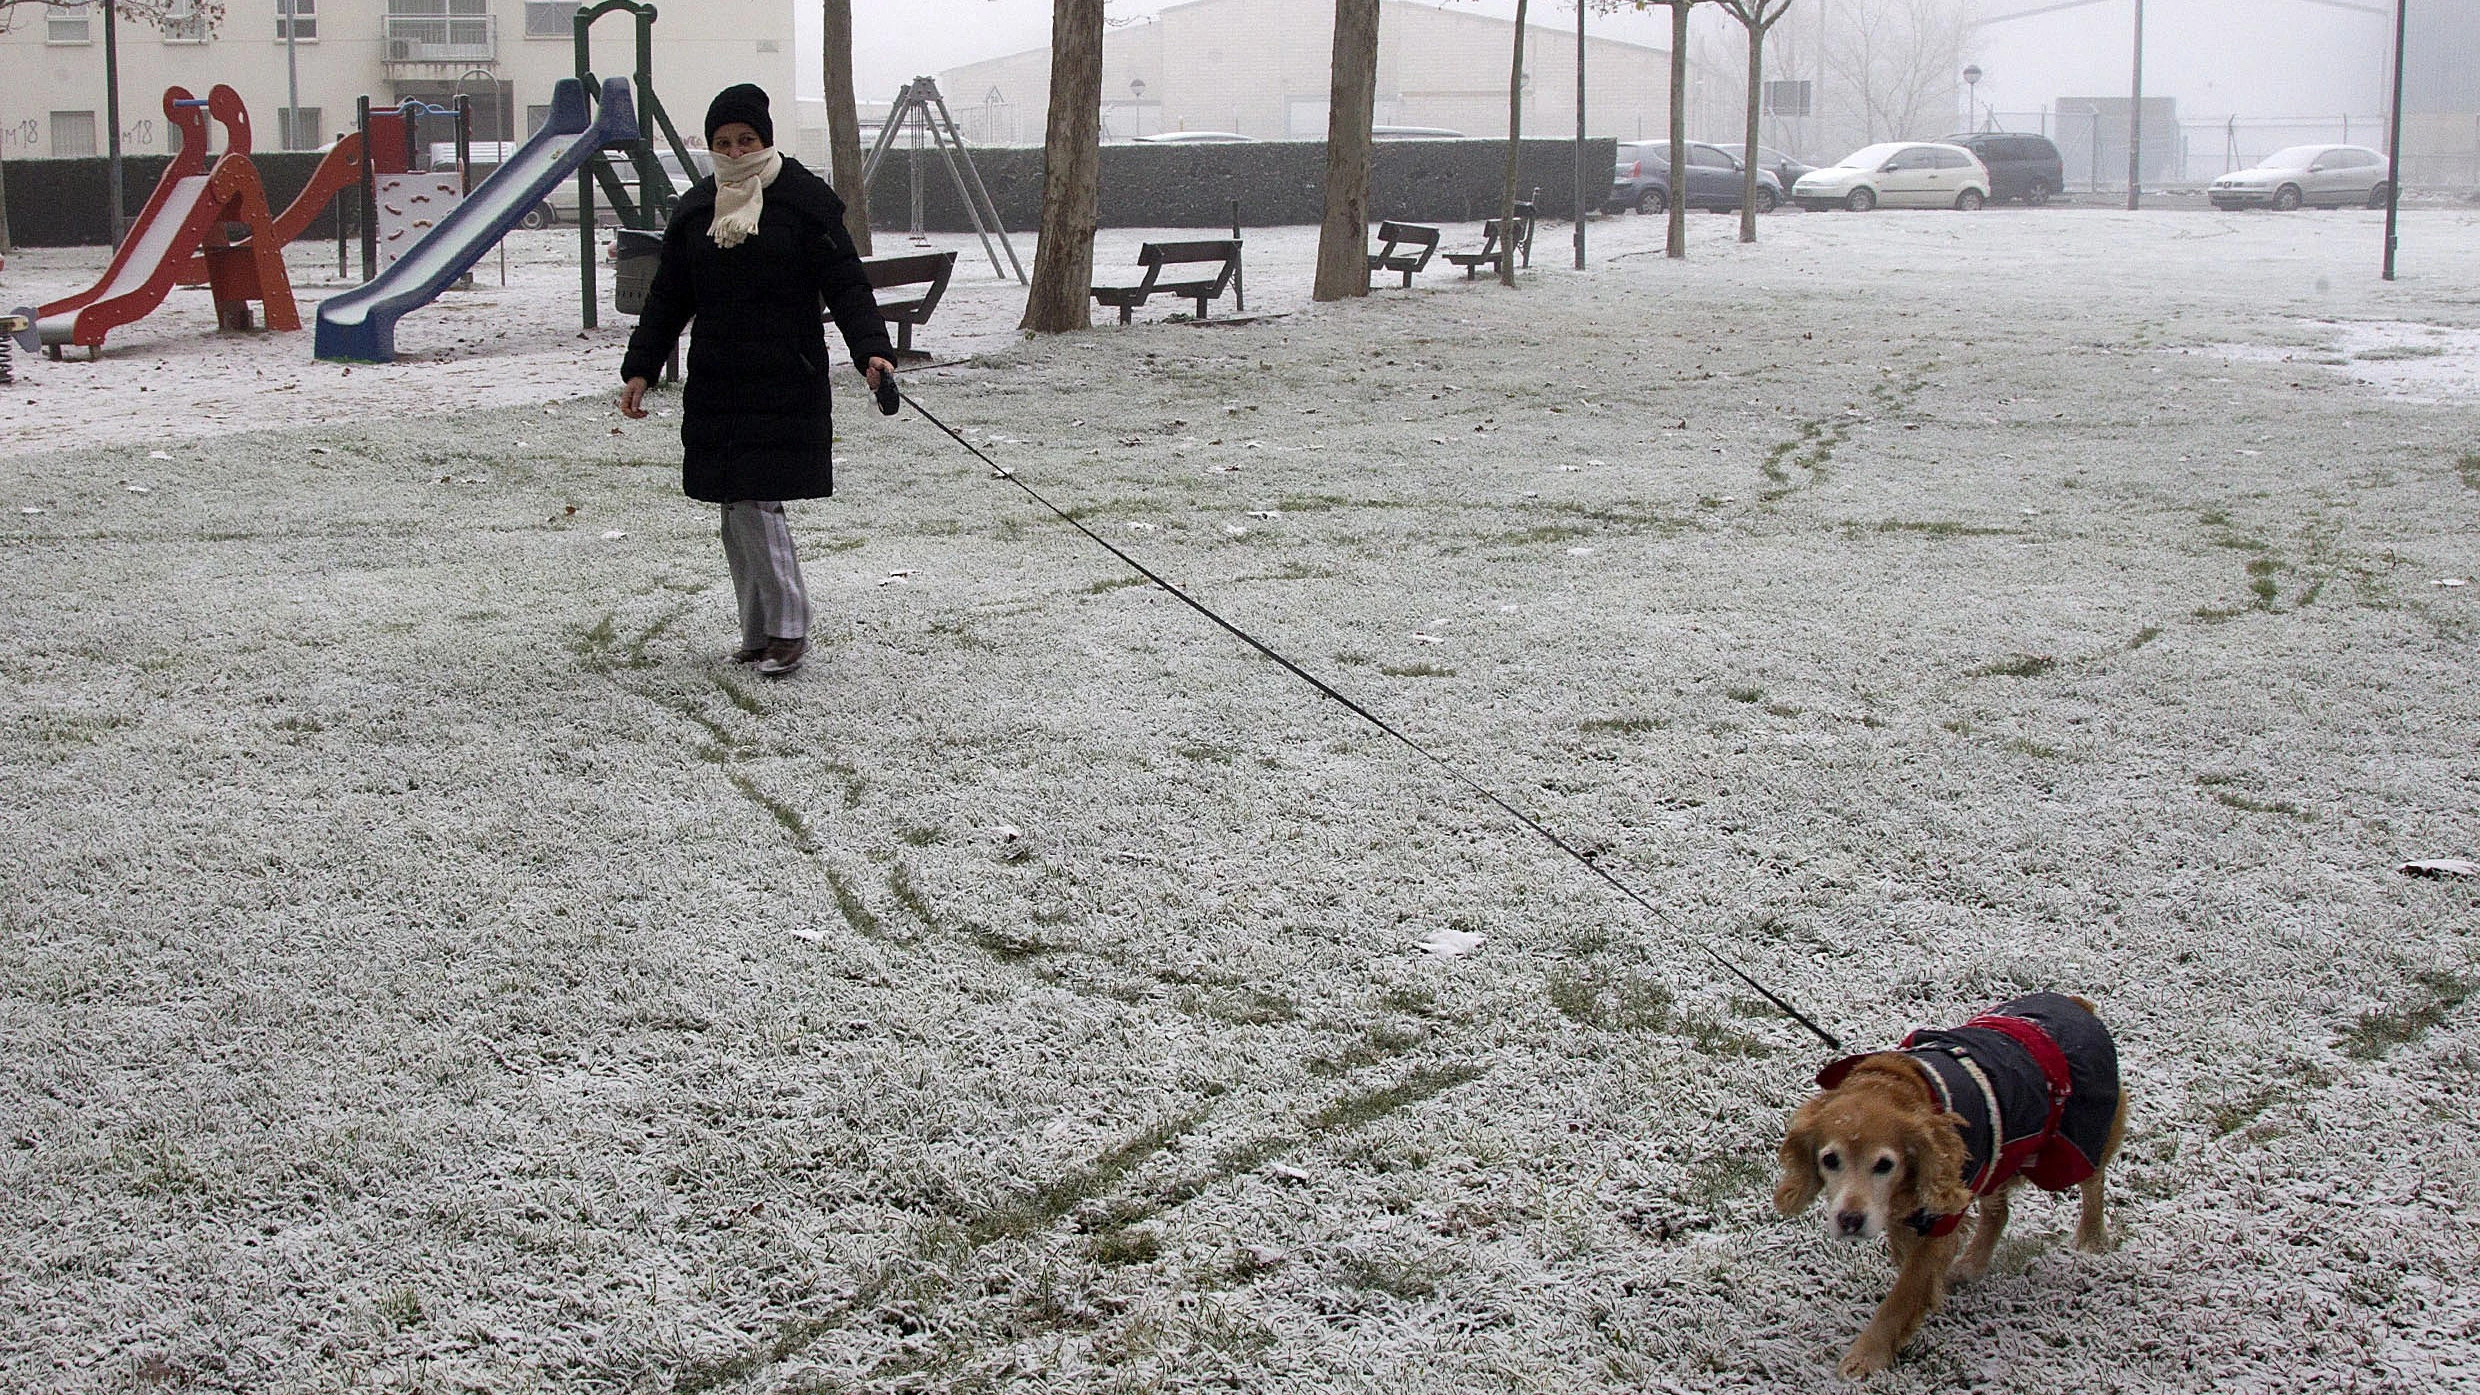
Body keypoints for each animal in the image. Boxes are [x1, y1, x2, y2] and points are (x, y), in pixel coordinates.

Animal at [1765, 987, 2132, 1370]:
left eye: (1885, 1164)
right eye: (1829, 1160)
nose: (1850, 1220)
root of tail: (2074, 1003)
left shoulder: (1942, 1217)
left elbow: (1904, 1292)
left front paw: (1866, 1357)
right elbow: (1906, 1253)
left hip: (2074, 1146)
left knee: (2093, 1181)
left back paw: (2092, 1237)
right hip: (1998, 1153)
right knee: (1999, 1212)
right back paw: (1971, 1266)